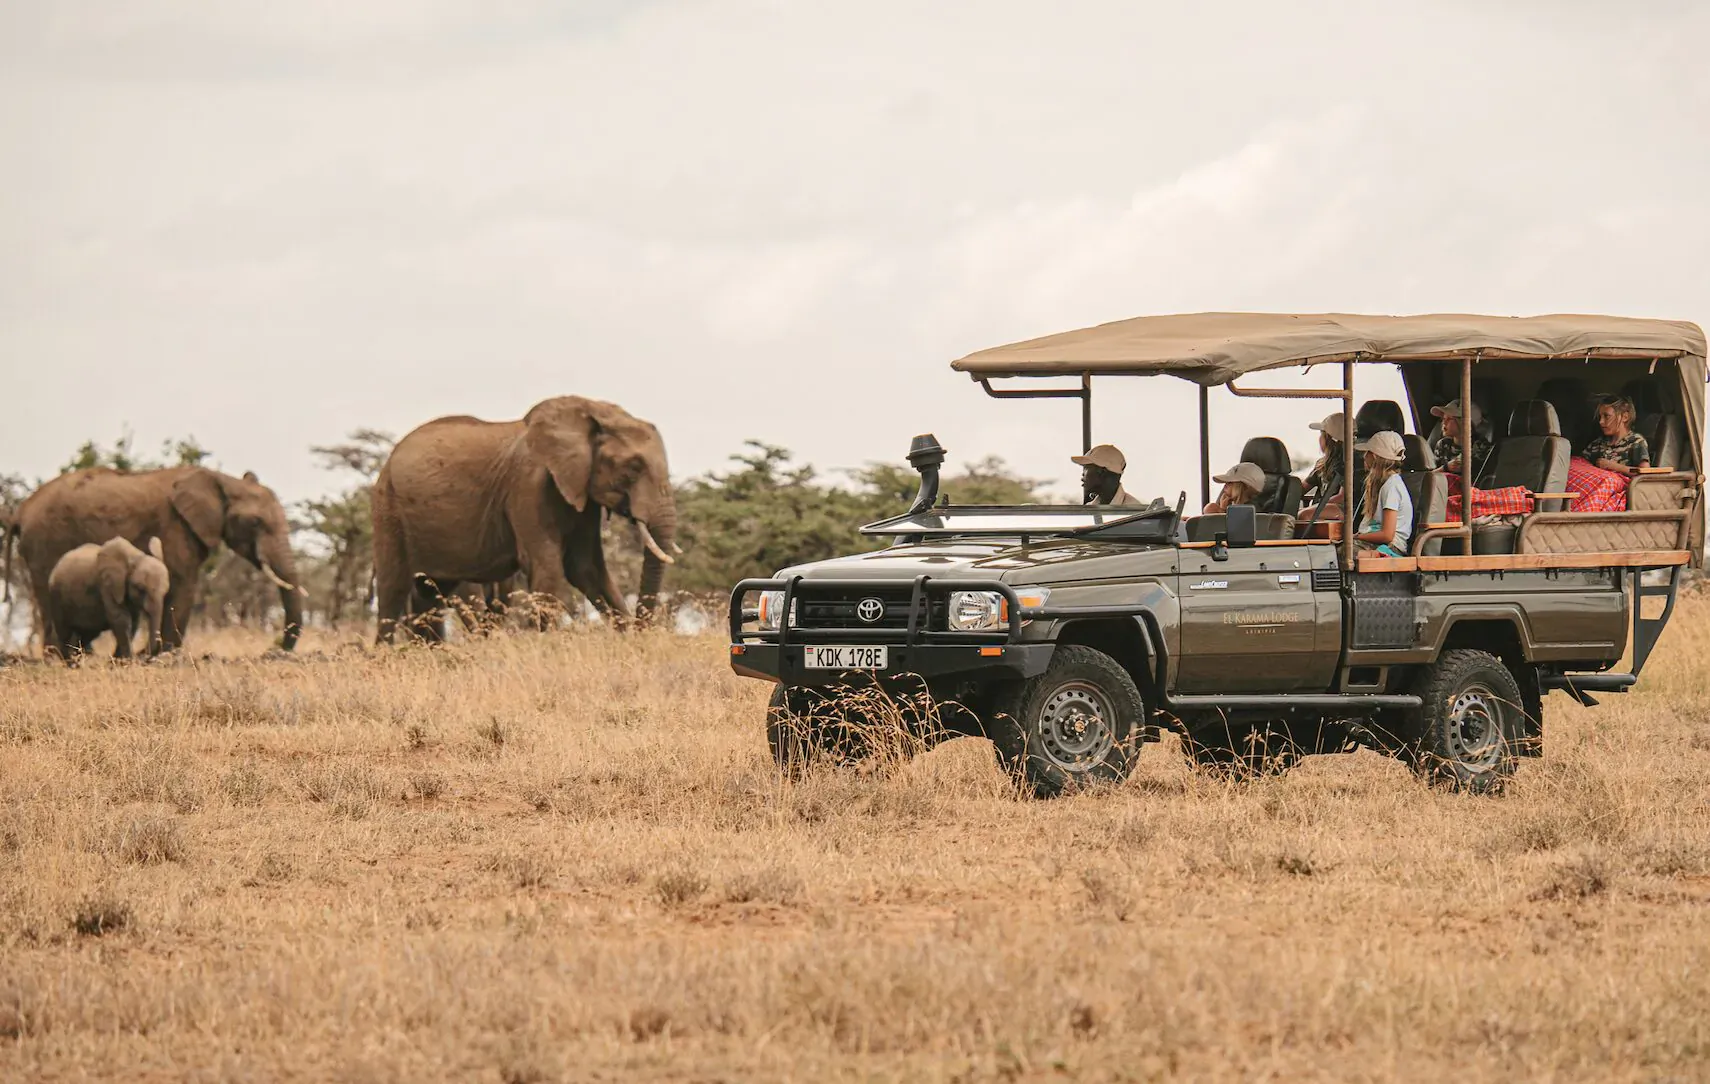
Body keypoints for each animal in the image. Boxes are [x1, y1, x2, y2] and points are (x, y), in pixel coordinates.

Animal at [15, 467, 305, 655]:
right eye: (256, 522)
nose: (272, 651)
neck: (222, 480)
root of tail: (22, 509)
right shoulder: (175, 526)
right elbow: (183, 583)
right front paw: (165, 654)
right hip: (45, 542)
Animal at [372, 396, 677, 642]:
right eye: (633, 468)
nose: (644, 630)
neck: (588, 413)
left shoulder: (580, 493)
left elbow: (585, 568)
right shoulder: (530, 486)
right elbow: (548, 567)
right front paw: (544, 646)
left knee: (427, 594)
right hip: (388, 507)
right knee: (393, 591)